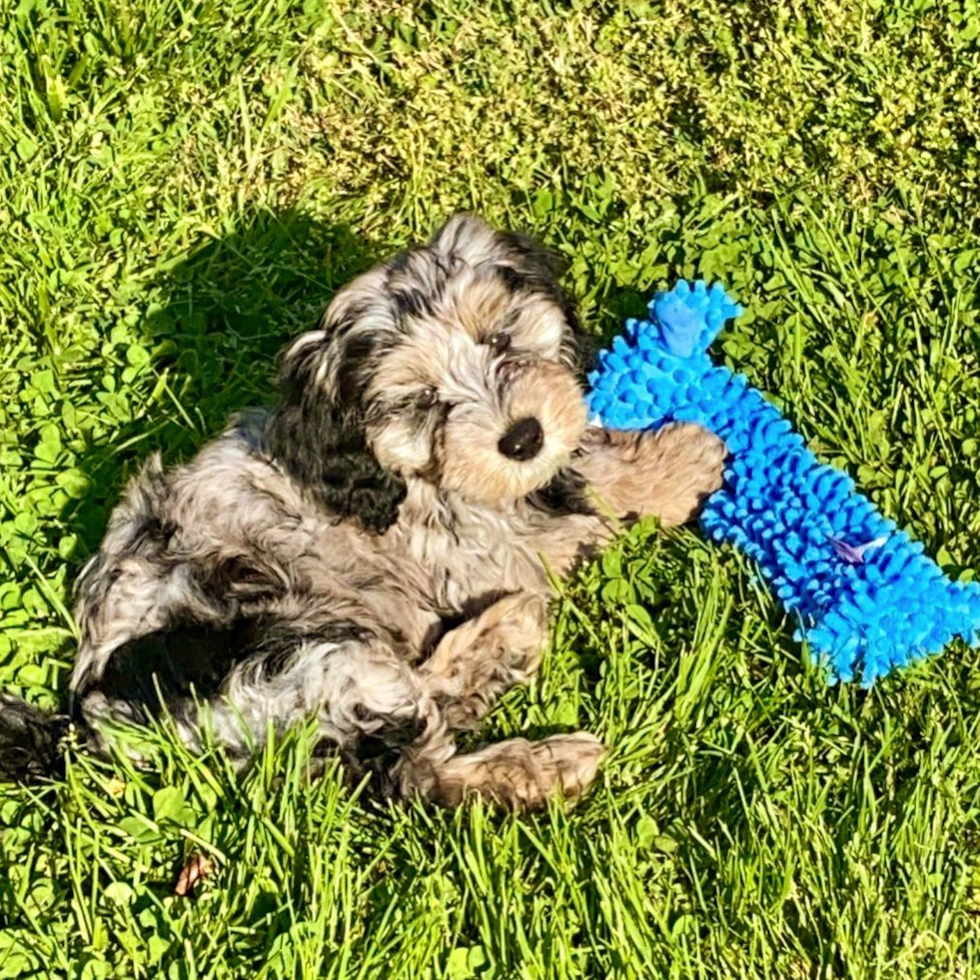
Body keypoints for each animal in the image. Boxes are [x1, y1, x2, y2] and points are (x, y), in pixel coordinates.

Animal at [0, 218, 724, 808]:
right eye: (423, 401)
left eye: (500, 337)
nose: (522, 437)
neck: (402, 475)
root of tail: (91, 733)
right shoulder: (483, 541)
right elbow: (580, 502)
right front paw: (685, 463)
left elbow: (580, 465)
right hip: (313, 655)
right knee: (413, 776)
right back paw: (541, 755)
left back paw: (501, 641)